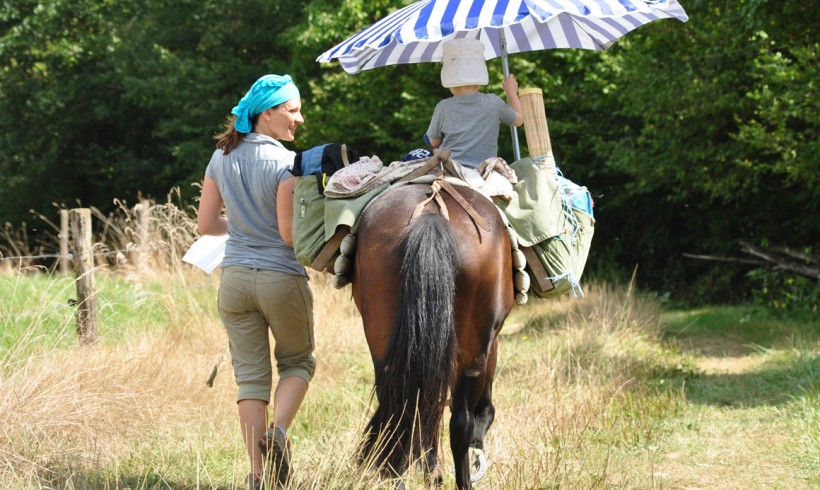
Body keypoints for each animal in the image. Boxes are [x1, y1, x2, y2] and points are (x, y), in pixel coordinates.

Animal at [350, 172, 512, 486]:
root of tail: (431, 212)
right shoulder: (488, 346)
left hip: (383, 339)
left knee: (401, 409)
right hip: (471, 355)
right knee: (459, 421)